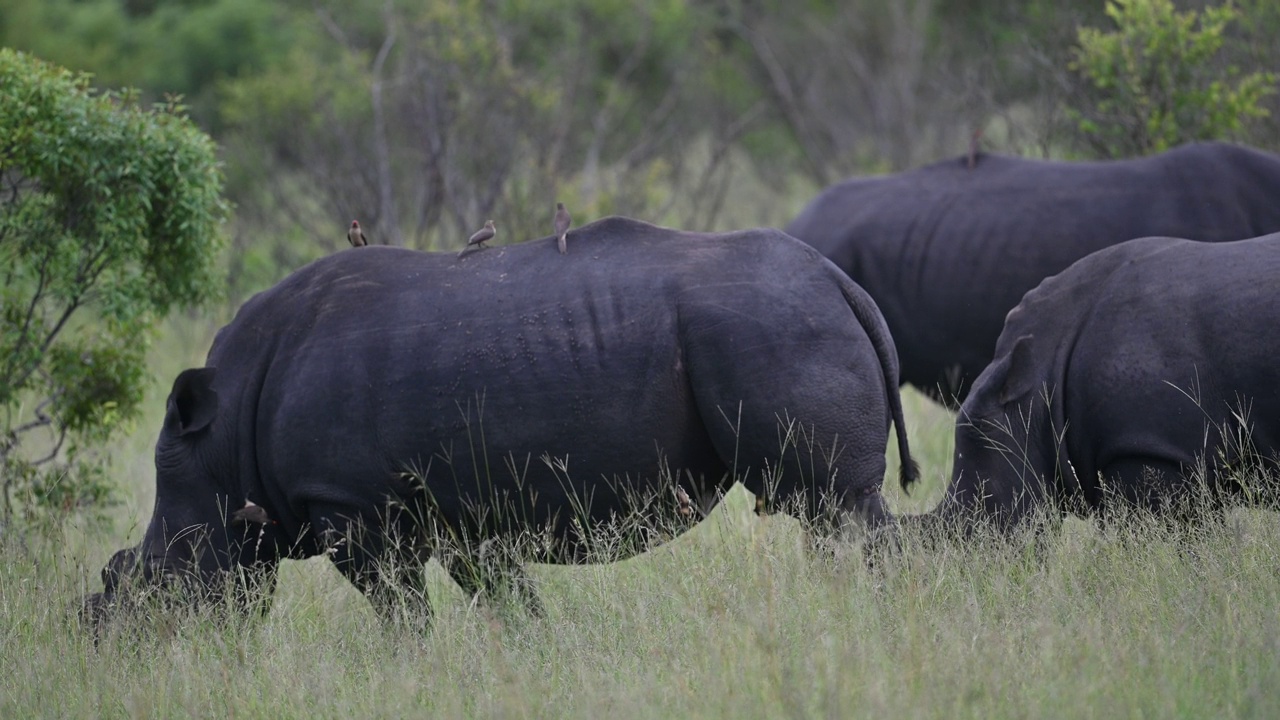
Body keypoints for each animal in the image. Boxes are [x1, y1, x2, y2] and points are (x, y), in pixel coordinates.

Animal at [82, 215, 921, 625]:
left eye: (139, 585)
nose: (107, 647)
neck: (221, 446)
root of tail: (840, 281)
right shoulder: (459, 515)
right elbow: (505, 600)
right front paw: (536, 655)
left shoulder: (349, 507)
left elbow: (402, 613)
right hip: (783, 323)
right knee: (824, 515)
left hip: (778, 327)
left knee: (838, 506)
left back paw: (874, 623)